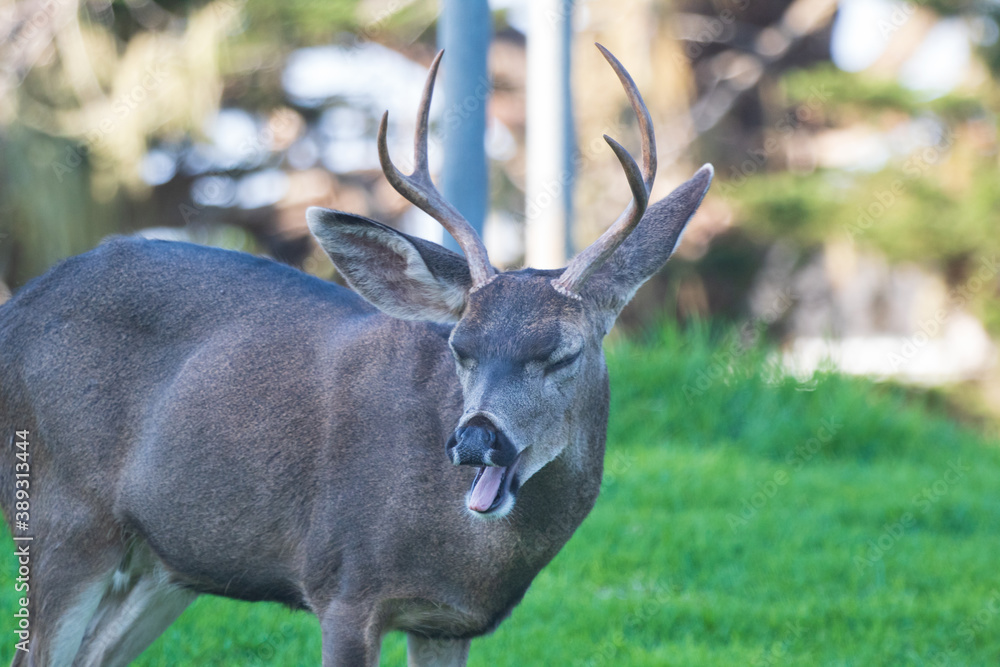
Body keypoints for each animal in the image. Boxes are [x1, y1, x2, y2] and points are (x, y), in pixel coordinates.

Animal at [0, 44, 712, 664]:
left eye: (562, 353)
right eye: (460, 347)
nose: (475, 440)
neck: (466, 554)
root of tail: (14, 310)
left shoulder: (447, 622)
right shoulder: (344, 583)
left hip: (160, 560)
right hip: (62, 513)